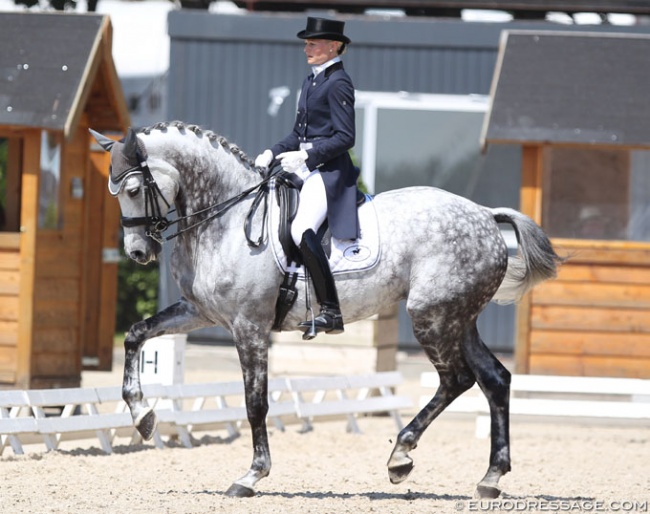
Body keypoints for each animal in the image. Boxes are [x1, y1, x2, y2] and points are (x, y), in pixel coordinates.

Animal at [91, 119, 560, 496]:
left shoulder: (249, 325)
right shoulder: (199, 311)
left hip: (432, 316)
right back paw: (490, 478)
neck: (226, 218)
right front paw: (143, 416)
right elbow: (136, 334)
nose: (137, 252)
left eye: (133, 189)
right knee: (494, 379)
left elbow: (255, 402)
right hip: (459, 319)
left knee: (457, 380)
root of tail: (484, 215)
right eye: (113, 192)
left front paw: (252, 475)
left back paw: (401, 455)